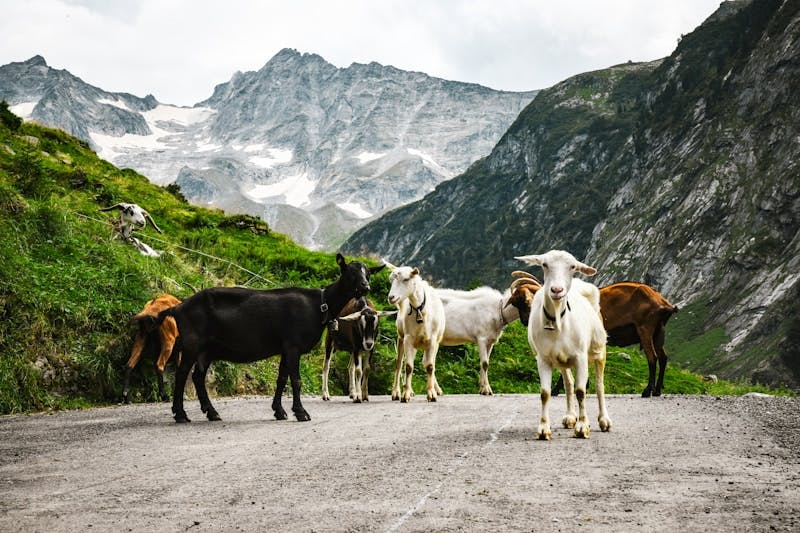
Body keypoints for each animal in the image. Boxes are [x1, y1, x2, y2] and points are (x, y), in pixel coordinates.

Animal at [141, 251, 384, 422]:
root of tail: (178, 307)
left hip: (206, 350)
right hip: (192, 344)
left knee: (198, 377)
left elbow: (282, 379)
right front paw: (301, 413)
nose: (366, 287)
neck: (320, 305)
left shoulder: (286, 348)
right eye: (349, 272)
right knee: (182, 375)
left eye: (368, 273)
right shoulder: (293, 346)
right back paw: (181, 414)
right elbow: (296, 380)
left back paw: (211, 413)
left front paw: (280, 411)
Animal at [386, 260, 446, 402]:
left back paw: (436, 389)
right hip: (401, 338)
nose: (391, 297)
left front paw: (431, 393)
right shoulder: (408, 339)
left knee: (429, 363)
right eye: (391, 280)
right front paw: (405, 394)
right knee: (399, 364)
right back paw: (397, 392)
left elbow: (430, 366)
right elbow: (408, 367)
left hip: (434, 343)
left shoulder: (432, 340)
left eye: (406, 279)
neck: (420, 310)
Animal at [510, 276, 680, 396]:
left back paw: (647, 391)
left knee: (652, 358)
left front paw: (557, 390)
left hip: (645, 329)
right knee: (663, 357)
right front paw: (584, 386)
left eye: (524, 302)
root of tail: (663, 303)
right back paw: (657, 391)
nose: (525, 321)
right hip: (659, 331)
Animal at [516, 250, 608, 440]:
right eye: (544, 265)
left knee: (599, 385)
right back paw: (571, 416)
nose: (557, 290)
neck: (558, 319)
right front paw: (543, 428)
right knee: (569, 383)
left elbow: (581, 391)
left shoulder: (580, 357)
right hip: (562, 360)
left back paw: (604, 420)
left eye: (572, 266)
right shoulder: (543, 359)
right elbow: (545, 393)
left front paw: (582, 427)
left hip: (599, 350)